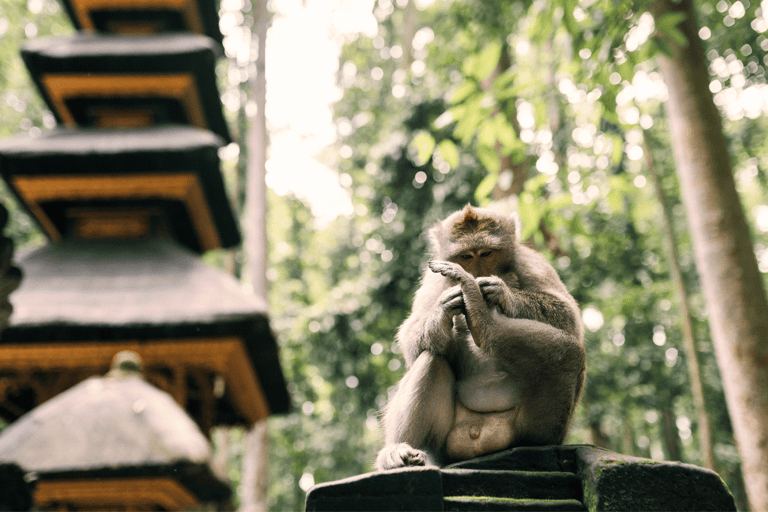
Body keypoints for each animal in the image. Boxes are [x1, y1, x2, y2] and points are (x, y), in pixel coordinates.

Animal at [375, 205, 585, 470]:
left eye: (486, 253)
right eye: (466, 256)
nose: (475, 273)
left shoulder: (530, 261)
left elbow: (567, 316)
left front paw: (500, 291)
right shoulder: (433, 278)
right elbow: (411, 339)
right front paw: (443, 309)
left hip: (535, 428)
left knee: (568, 353)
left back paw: (481, 317)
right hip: (443, 448)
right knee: (432, 358)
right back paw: (397, 451)